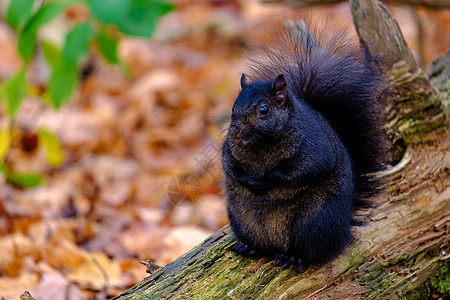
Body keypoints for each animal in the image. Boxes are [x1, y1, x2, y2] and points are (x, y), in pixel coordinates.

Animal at [221, 19, 386, 270]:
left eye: (264, 110)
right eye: (233, 109)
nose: (235, 130)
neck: (261, 146)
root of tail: (343, 229)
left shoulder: (314, 149)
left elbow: (302, 170)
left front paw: (268, 179)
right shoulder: (229, 152)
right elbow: (231, 169)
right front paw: (252, 181)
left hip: (313, 220)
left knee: (312, 251)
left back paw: (292, 257)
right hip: (241, 219)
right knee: (261, 246)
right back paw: (249, 247)